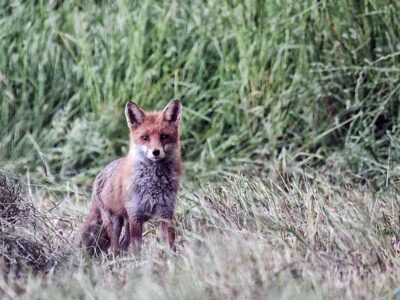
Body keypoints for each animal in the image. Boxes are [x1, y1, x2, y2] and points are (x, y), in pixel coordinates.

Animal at [82, 99, 182, 255]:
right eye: (145, 138)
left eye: (164, 136)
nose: (156, 152)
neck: (153, 183)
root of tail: (100, 173)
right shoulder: (136, 216)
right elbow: (137, 249)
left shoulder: (166, 214)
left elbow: (170, 245)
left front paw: (172, 260)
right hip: (115, 223)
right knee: (114, 248)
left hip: (127, 224)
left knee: (123, 245)